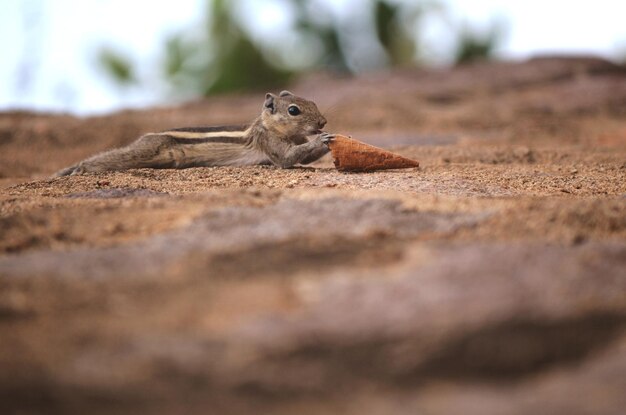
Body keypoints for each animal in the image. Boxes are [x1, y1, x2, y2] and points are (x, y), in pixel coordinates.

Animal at [53, 90, 334, 176]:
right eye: (294, 110)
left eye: (313, 101)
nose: (323, 121)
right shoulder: (268, 142)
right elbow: (287, 159)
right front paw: (321, 139)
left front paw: (326, 141)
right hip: (150, 150)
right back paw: (79, 169)